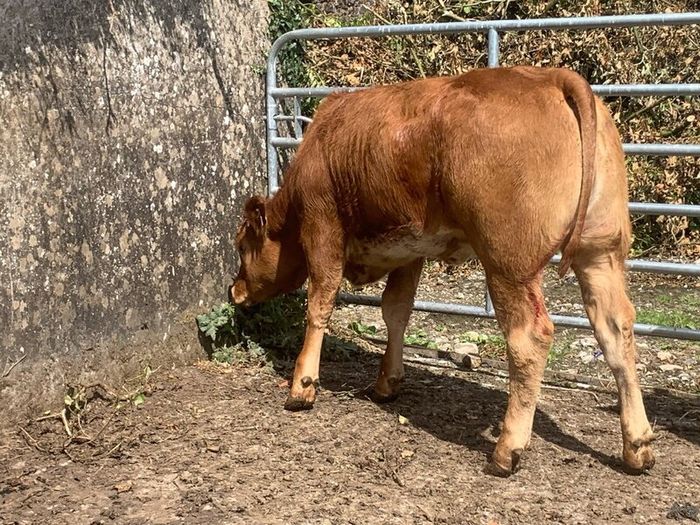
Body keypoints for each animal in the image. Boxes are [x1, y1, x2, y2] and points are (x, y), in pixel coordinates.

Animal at [230, 66, 655, 476]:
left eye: (242, 245)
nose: (235, 290)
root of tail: (551, 76)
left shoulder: (322, 227)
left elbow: (320, 303)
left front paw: (302, 386)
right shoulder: (410, 249)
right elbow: (396, 311)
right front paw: (387, 382)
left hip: (508, 264)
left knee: (529, 338)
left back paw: (506, 451)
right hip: (601, 254)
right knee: (616, 328)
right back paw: (637, 447)